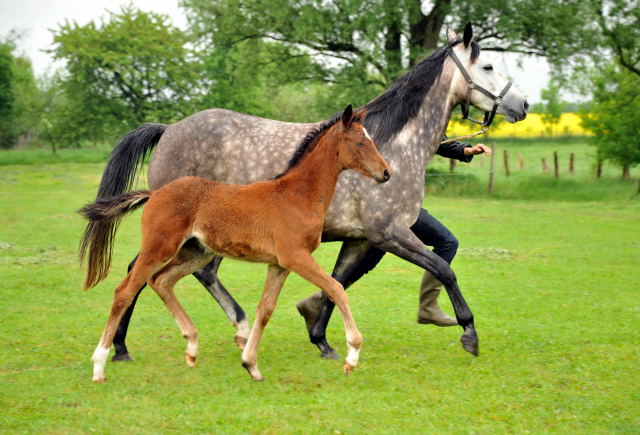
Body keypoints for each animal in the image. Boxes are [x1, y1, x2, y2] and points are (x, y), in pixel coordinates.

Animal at [80, 105, 390, 382]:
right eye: (360, 142)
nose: (386, 173)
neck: (297, 195)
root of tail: (154, 193)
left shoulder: (279, 264)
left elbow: (265, 310)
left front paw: (251, 365)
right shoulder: (296, 257)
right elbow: (337, 289)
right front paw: (352, 356)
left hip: (196, 252)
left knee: (161, 280)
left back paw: (191, 346)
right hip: (160, 247)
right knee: (125, 290)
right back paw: (100, 364)